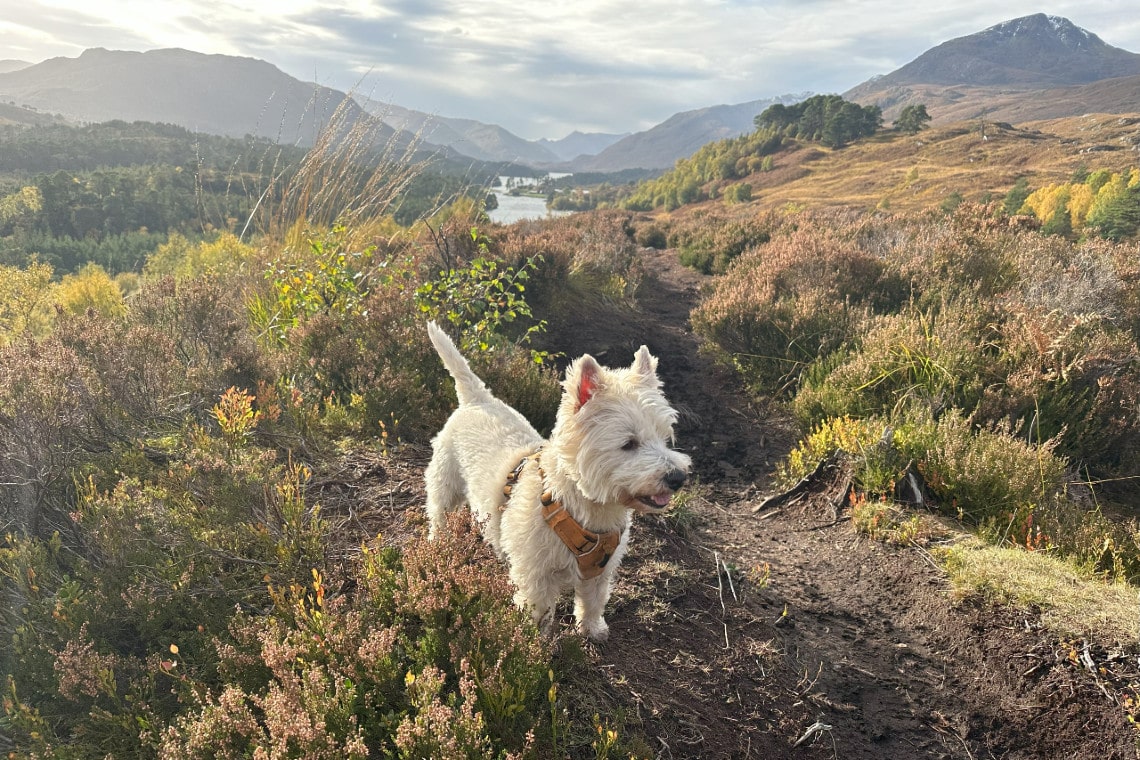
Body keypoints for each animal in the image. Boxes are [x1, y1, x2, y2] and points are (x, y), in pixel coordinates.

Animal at [424, 321, 688, 642]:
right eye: (629, 444)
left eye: (665, 438)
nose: (678, 477)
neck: (586, 508)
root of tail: (477, 399)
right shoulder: (535, 574)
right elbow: (537, 611)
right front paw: (535, 644)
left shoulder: (601, 570)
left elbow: (593, 600)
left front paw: (592, 630)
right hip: (445, 483)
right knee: (439, 516)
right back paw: (439, 544)